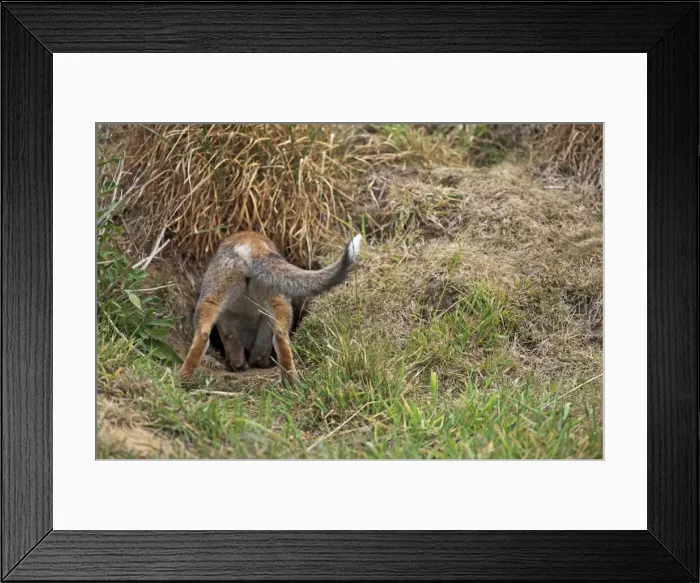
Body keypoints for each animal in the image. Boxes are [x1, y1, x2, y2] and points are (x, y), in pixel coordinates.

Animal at [178, 231, 362, 384]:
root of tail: (250, 242)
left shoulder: (225, 318)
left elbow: (237, 346)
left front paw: (239, 364)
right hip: (280, 303)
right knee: (278, 337)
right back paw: (289, 380)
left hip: (213, 301)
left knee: (203, 337)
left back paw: (184, 377)